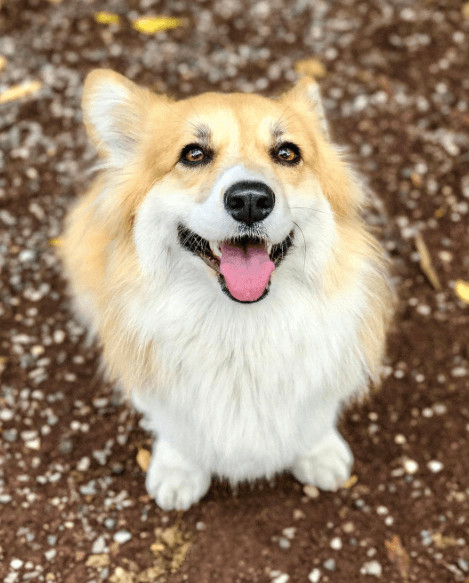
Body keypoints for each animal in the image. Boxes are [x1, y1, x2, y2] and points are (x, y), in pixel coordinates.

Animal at [60, 69, 394, 512]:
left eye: (287, 153)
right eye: (193, 154)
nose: (250, 199)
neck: (240, 325)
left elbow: (317, 416)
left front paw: (319, 453)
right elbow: (174, 427)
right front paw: (178, 472)